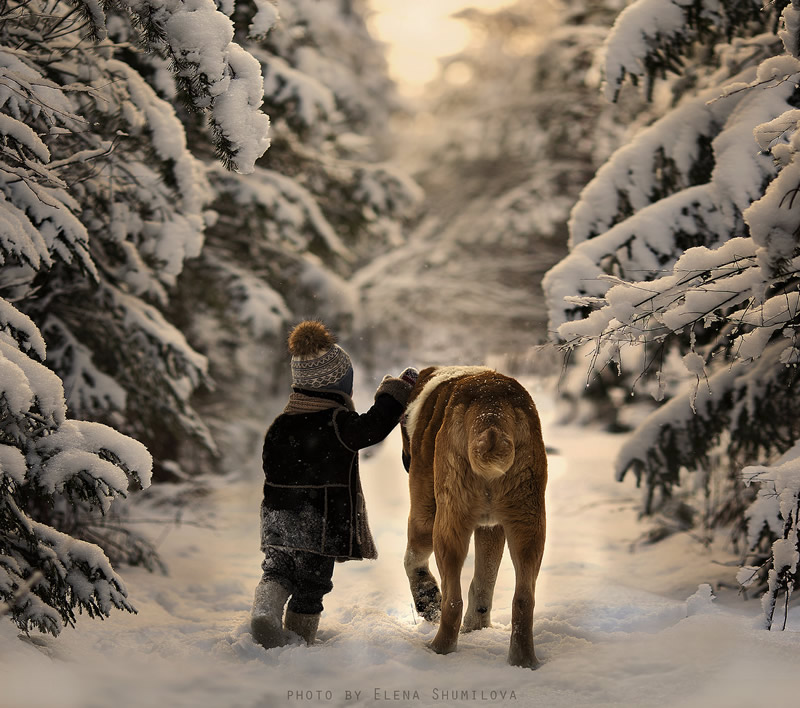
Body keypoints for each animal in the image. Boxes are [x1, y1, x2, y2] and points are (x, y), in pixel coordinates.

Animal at [404, 368, 548, 668]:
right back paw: (523, 661)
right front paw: (476, 627)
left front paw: (426, 597)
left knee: (452, 601)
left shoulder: (423, 514)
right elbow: (484, 579)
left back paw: (437, 650)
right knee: (523, 599)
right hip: (529, 524)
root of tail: (490, 413)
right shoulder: (492, 528)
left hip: (446, 526)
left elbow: (412, 559)